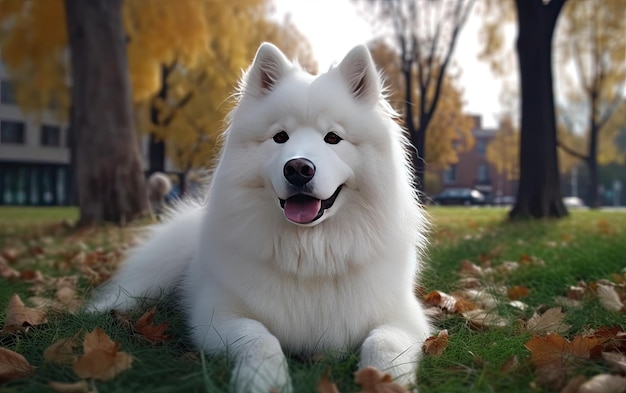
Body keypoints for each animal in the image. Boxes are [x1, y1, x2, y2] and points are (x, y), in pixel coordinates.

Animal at [88, 43, 428, 392]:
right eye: (280, 137)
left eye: (333, 138)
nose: (298, 168)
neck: (310, 254)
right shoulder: (219, 314)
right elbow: (258, 337)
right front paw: (265, 380)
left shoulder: (403, 317)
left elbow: (384, 341)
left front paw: (387, 380)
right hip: (158, 269)